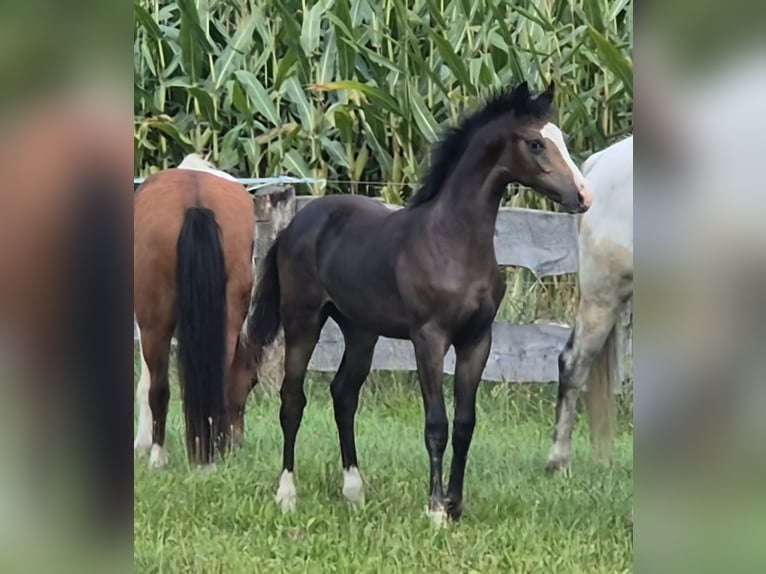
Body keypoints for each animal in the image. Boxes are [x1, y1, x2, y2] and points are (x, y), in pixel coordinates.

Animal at [134, 155, 258, 470]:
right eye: (252, 383)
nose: (239, 443)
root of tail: (196, 200)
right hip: (228, 320)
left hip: (155, 321)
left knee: (159, 387)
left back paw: (158, 455)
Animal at [246, 81, 592, 528]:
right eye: (535, 143)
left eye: (561, 139)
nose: (583, 196)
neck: (452, 242)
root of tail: (294, 226)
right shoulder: (429, 338)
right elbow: (436, 424)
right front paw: (435, 510)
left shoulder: (477, 340)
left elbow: (464, 423)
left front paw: (457, 505)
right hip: (302, 321)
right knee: (293, 398)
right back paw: (287, 494)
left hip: (361, 330)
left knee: (344, 395)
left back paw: (354, 490)